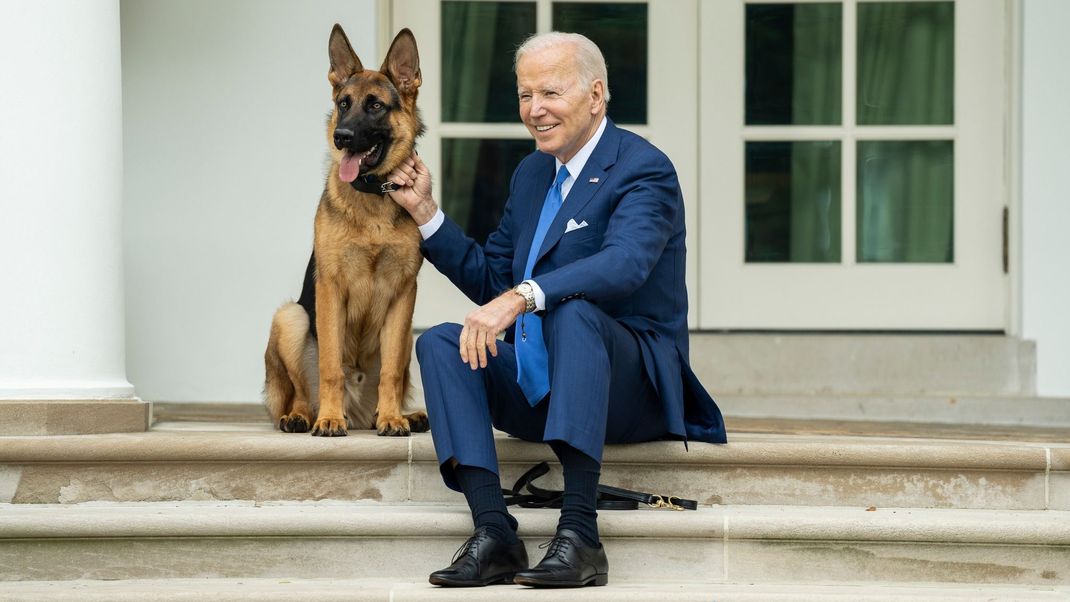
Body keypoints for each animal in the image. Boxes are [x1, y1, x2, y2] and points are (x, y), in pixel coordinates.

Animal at [264, 24, 430, 438]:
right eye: (343, 103)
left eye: (375, 106)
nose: (341, 136)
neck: (372, 195)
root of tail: (358, 413)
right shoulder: (330, 289)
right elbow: (331, 367)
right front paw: (329, 419)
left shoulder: (404, 294)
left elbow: (390, 372)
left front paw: (393, 418)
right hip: (291, 318)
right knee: (302, 392)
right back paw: (304, 416)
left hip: (408, 337)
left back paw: (402, 415)